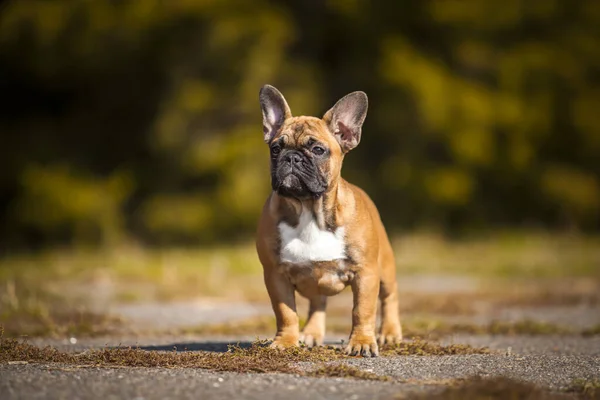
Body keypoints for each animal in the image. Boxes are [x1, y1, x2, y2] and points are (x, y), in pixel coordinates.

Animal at [254, 85, 400, 356]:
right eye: (276, 149)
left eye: (318, 150)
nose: (291, 157)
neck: (309, 210)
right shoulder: (275, 275)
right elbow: (286, 312)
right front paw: (286, 342)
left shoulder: (366, 272)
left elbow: (362, 310)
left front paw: (362, 342)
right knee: (317, 303)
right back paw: (311, 334)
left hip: (384, 267)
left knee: (389, 296)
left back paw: (389, 332)